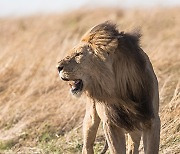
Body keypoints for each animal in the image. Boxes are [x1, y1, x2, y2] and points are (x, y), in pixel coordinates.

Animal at [56, 22, 160, 154]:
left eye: (78, 54)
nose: (58, 67)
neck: (120, 90)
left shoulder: (151, 119)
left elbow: (151, 148)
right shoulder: (110, 124)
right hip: (91, 117)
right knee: (87, 145)